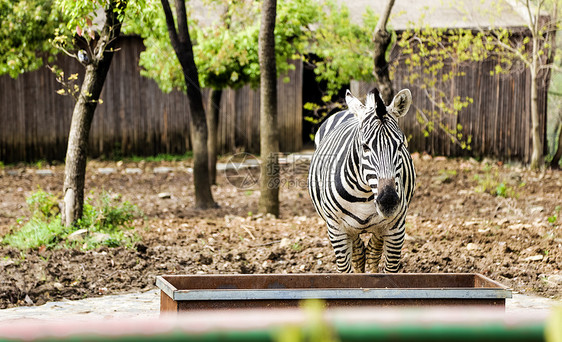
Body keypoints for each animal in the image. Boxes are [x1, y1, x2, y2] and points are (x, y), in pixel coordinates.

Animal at [308, 87, 414, 272]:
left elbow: (389, 267)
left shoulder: (397, 228)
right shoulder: (336, 230)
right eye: (365, 147)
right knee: (358, 250)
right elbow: (346, 268)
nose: (388, 201)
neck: (364, 195)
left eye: (401, 145)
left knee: (372, 249)